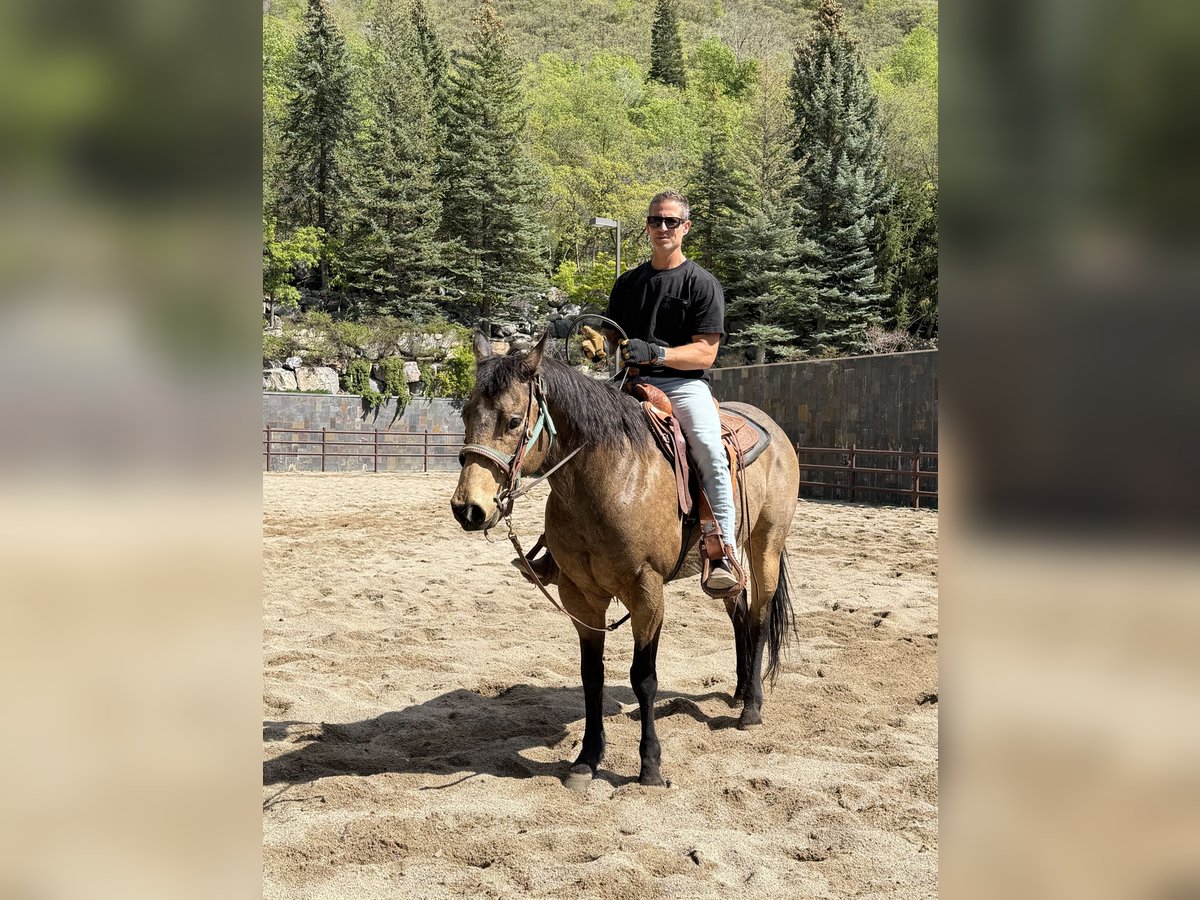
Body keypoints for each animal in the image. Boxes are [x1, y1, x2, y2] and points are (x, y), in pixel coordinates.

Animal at [451, 331, 800, 788]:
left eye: (512, 421)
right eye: (466, 415)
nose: (468, 509)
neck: (610, 476)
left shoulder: (647, 592)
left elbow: (643, 678)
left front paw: (649, 765)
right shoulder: (580, 595)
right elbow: (592, 676)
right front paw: (586, 758)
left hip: (766, 545)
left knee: (758, 617)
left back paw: (751, 708)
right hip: (728, 559)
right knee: (738, 611)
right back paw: (740, 690)